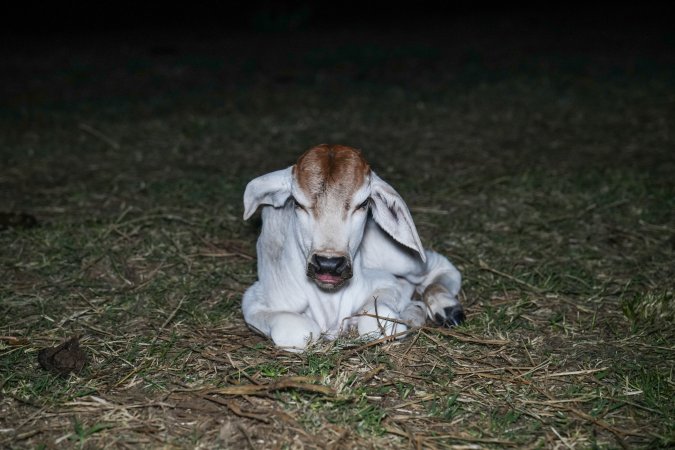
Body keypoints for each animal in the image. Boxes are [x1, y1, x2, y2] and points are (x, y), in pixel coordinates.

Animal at [243, 144, 464, 352]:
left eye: (363, 203)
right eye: (297, 203)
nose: (328, 265)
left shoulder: (386, 283)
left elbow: (377, 321)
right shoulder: (254, 299)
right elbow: (299, 331)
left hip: (400, 258)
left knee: (437, 266)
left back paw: (447, 308)